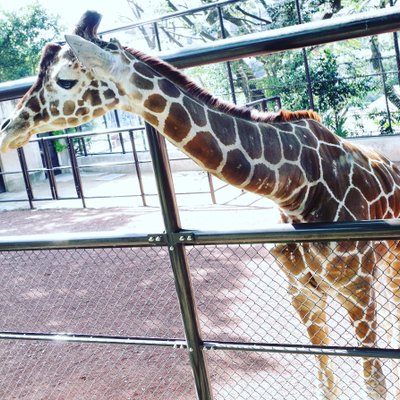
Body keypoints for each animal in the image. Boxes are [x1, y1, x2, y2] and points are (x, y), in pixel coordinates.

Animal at [0, 10, 400, 400]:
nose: (8, 129)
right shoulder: (302, 292)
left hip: (390, 262)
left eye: (65, 80)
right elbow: (325, 380)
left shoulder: (357, 289)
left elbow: (373, 384)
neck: (297, 187)